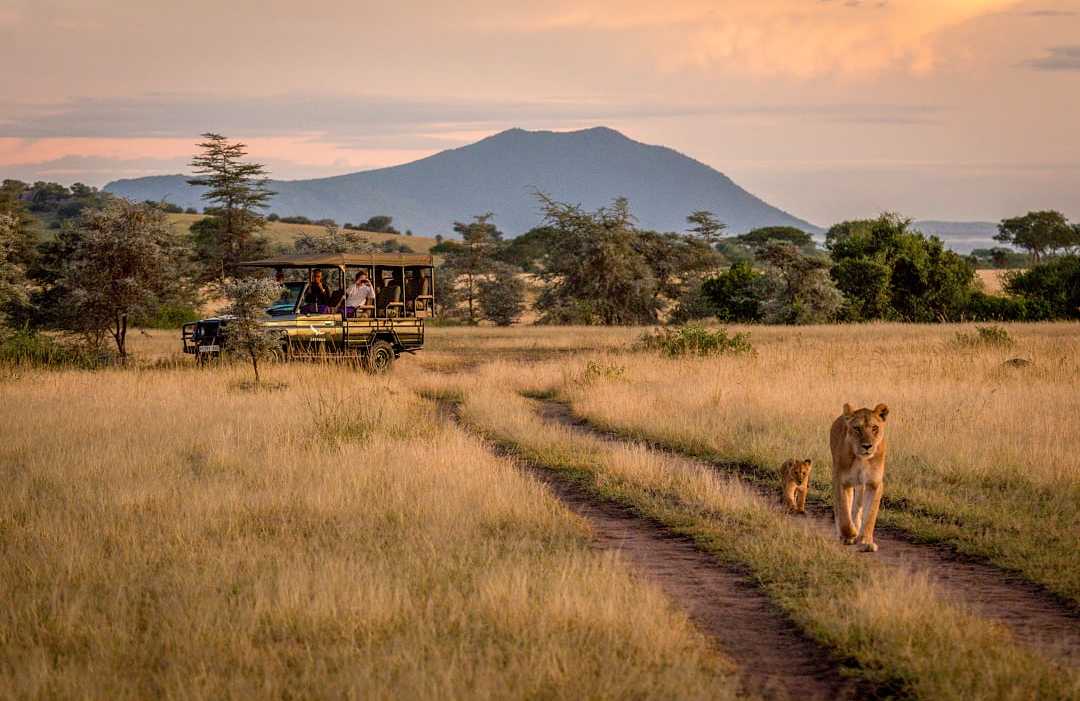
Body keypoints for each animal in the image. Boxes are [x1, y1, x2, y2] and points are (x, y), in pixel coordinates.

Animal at [830, 403, 889, 553]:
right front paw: (850, 534)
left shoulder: (874, 484)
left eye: (874, 428)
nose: (867, 446)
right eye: (857, 428)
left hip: (861, 485)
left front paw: (865, 541)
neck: (862, 460)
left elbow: (870, 515)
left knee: (857, 507)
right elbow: (844, 512)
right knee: (841, 508)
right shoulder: (841, 481)